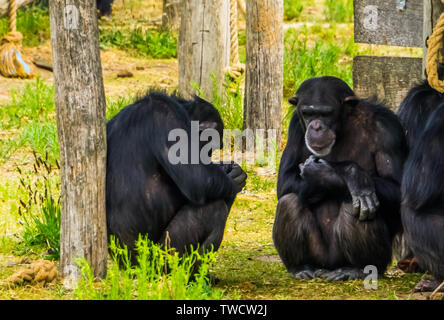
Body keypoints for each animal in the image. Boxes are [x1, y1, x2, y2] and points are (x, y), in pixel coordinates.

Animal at [106, 92, 248, 268]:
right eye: (210, 147)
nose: (208, 156)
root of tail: (131, 268)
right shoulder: (168, 119)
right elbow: (198, 180)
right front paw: (234, 177)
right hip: (164, 256)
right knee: (215, 207)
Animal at [274, 77, 410, 280]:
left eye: (326, 113)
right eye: (308, 113)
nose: (316, 126)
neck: (344, 125)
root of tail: (328, 267)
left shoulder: (387, 128)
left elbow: (398, 187)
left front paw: (340, 174)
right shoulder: (295, 126)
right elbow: (285, 180)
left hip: (360, 258)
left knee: (355, 203)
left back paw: (356, 269)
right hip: (319, 255)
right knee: (289, 201)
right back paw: (301, 267)